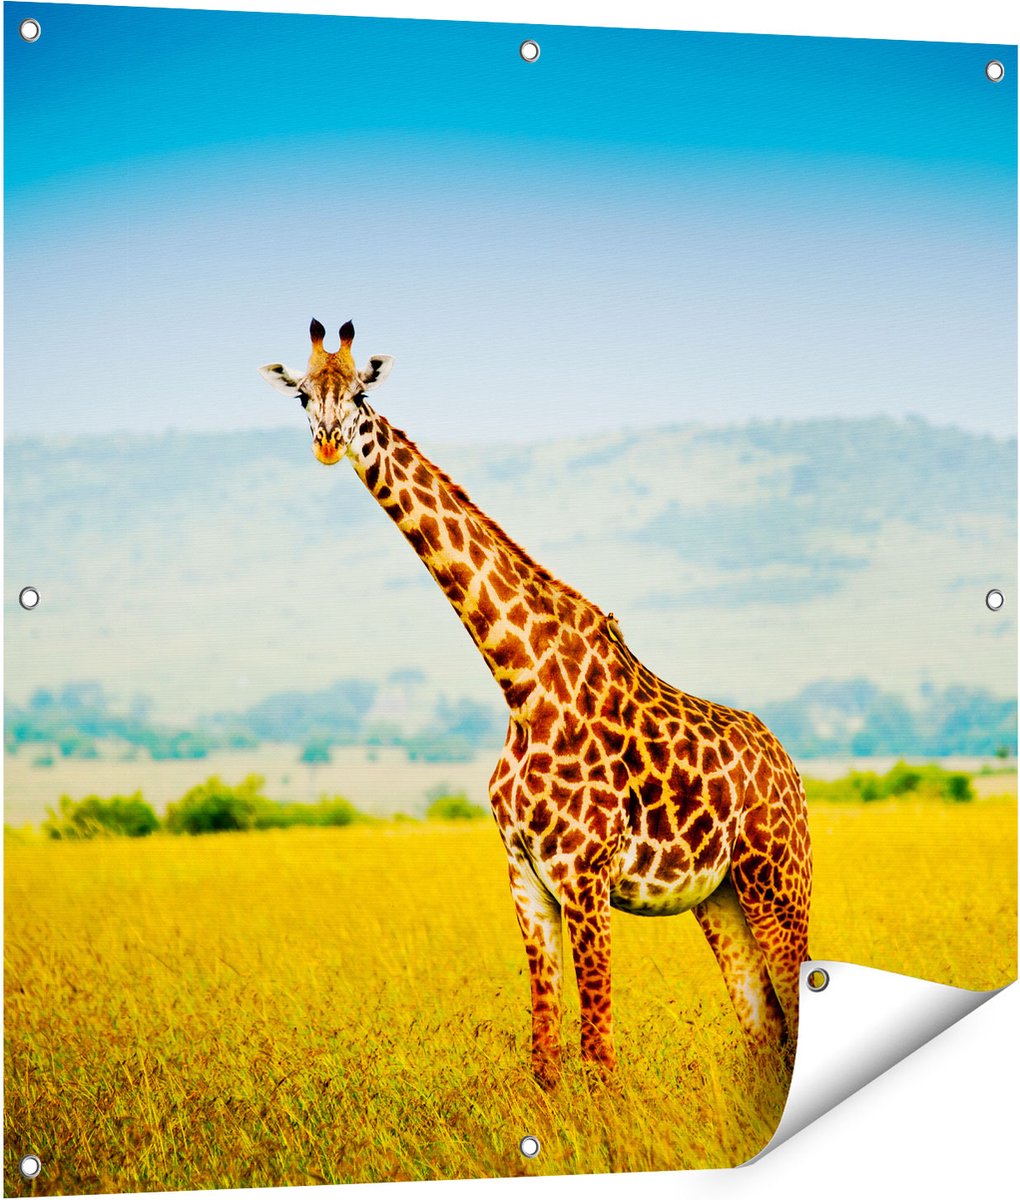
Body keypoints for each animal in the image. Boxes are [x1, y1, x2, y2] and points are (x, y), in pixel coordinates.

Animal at [261, 319, 812, 1087]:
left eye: (362, 393)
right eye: (304, 394)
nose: (328, 443)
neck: (520, 683)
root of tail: (791, 768)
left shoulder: (584, 876)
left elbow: (599, 1052)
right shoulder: (525, 878)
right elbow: (546, 1056)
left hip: (779, 879)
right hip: (721, 896)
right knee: (767, 1032)